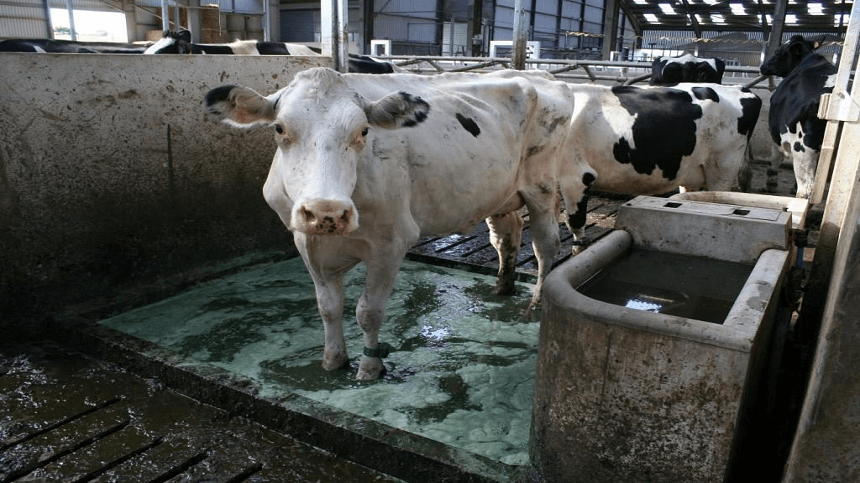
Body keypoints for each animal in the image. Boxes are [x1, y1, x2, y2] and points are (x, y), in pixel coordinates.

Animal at [205, 67, 596, 378]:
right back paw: (502, 285)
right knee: (506, 235)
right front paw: (332, 361)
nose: (327, 211)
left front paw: (369, 367)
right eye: (279, 128)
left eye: (364, 131)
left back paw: (535, 303)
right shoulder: (306, 240)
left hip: (541, 186)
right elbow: (328, 308)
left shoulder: (391, 242)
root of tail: (540, 75)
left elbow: (368, 312)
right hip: (499, 192)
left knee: (546, 246)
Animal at [764, 35, 836, 199]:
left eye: (777, 52)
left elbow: (775, 154)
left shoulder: (776, 130)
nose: (763, 67)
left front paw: (771, 180)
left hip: (802, 146)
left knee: (806, 188)